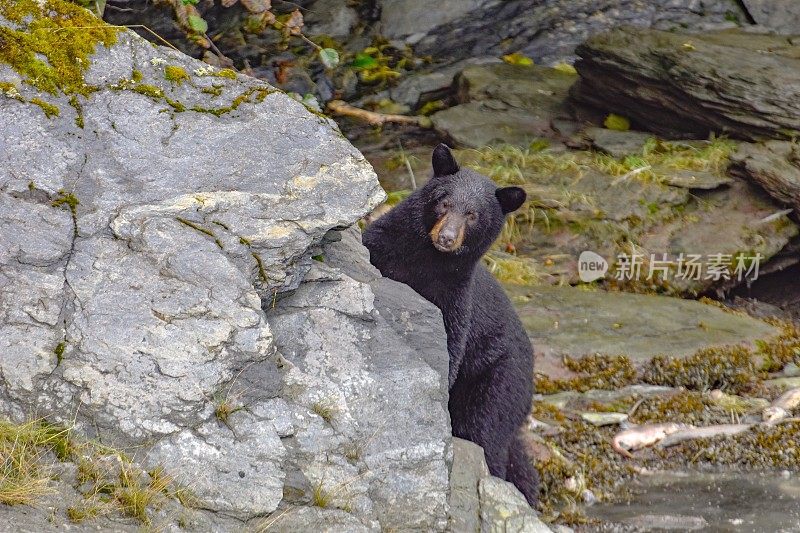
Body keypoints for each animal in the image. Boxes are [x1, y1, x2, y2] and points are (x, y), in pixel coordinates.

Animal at [364, 144, 540, 502]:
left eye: (473, 215)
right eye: (444, 201)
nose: (446, 237)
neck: (427, 261)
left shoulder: (456, 297)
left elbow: (449, 348)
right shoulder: (382, 247)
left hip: (497, 382)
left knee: (486, 433)